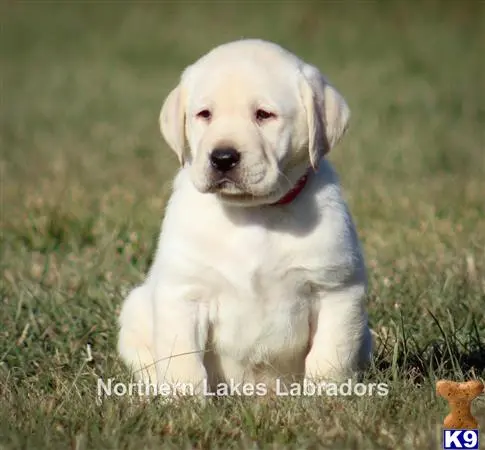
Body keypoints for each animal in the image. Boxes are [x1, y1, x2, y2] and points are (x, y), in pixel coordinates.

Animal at [116, 39, 370, 398]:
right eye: (204, 114)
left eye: (264, 114)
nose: (223, 157)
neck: (252, 213)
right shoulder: (183, 294)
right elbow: (183, 359)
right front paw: (184, 404)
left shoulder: (336, 289)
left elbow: (330, 355)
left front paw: (327, 400)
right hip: (135, 309)